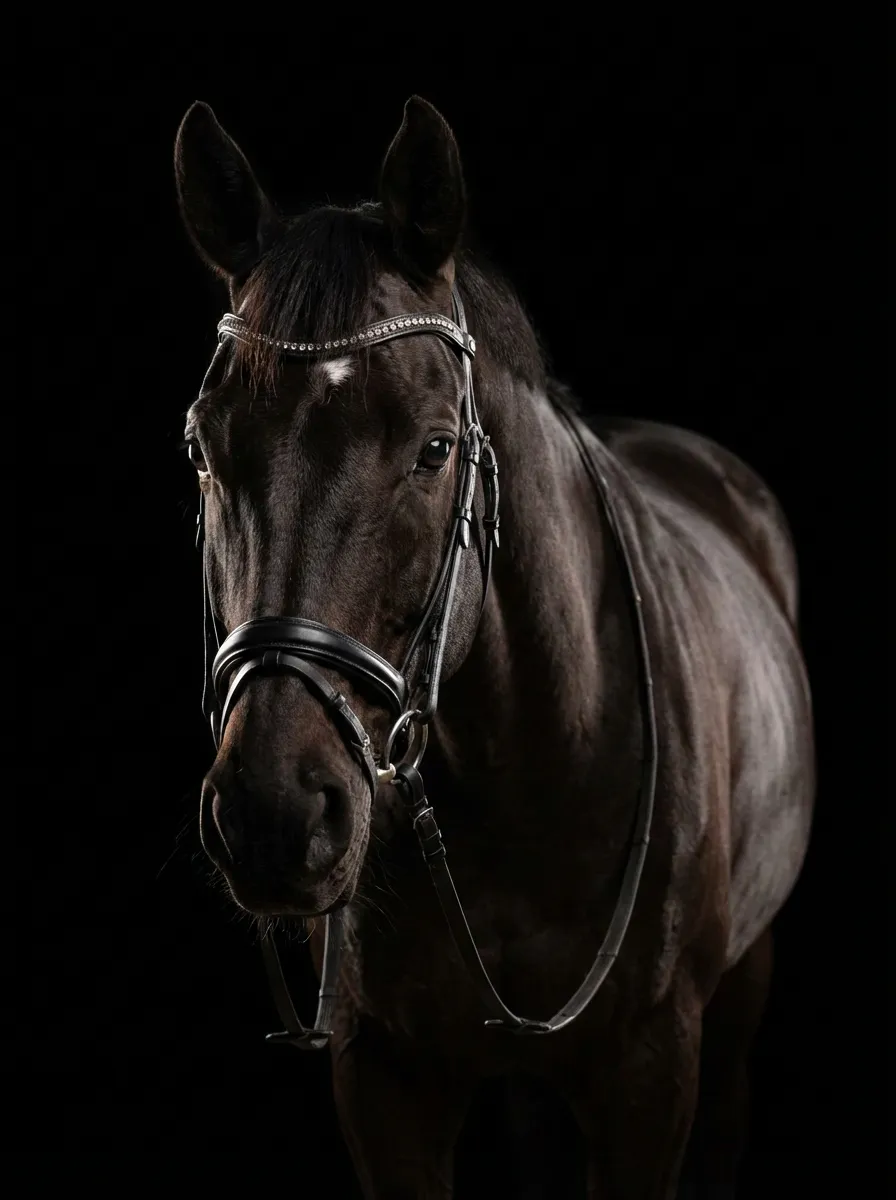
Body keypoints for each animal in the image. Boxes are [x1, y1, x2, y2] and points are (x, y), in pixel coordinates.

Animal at [173, 95, 814, 1199]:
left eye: (434, 449)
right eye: (205, 451)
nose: (271, 812)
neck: (533, 766)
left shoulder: (654, 1071)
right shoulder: (383, 1079)